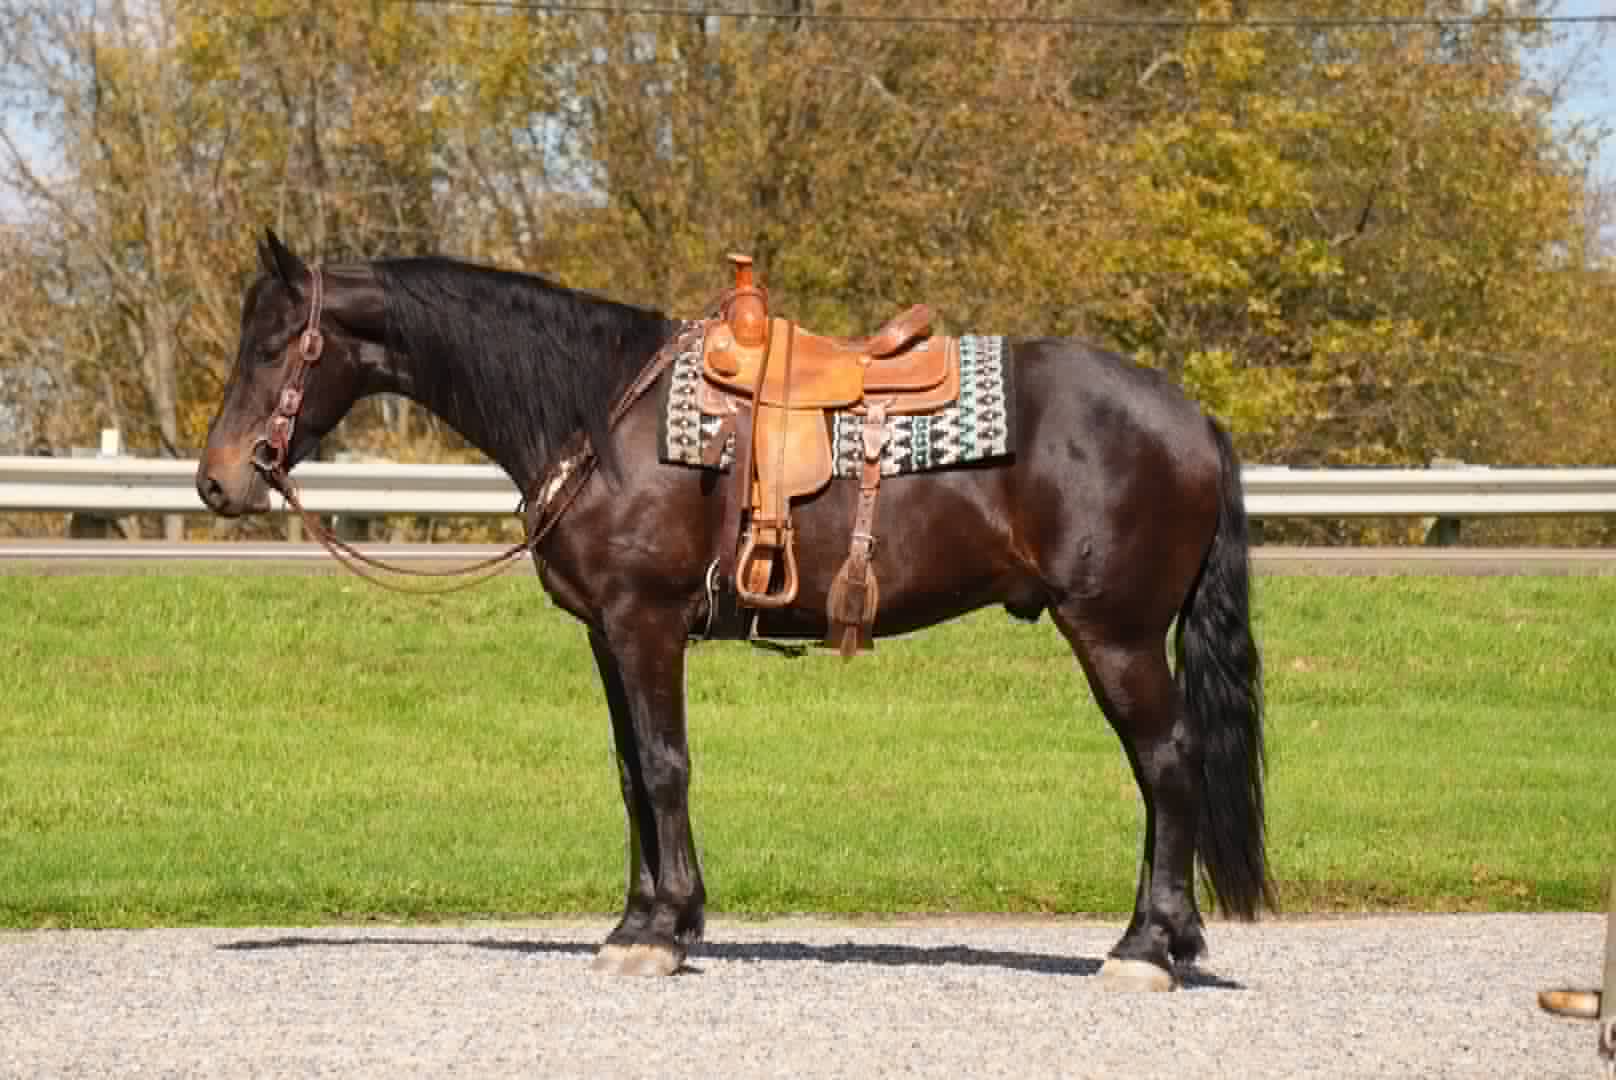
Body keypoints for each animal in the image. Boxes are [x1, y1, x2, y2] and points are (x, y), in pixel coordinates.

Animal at [196, 229, 1272, 988]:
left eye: (273, 347)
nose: (217, 481)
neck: (605, 416)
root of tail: (1191, 416)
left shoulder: (644, 623)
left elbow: (666, 766)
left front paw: (662, 932)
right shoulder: (607, 635)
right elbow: (629, 772)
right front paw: (640, 921)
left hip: (1113, 634)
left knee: (1165, 762)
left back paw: (1144, 947)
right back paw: (1168, 938)